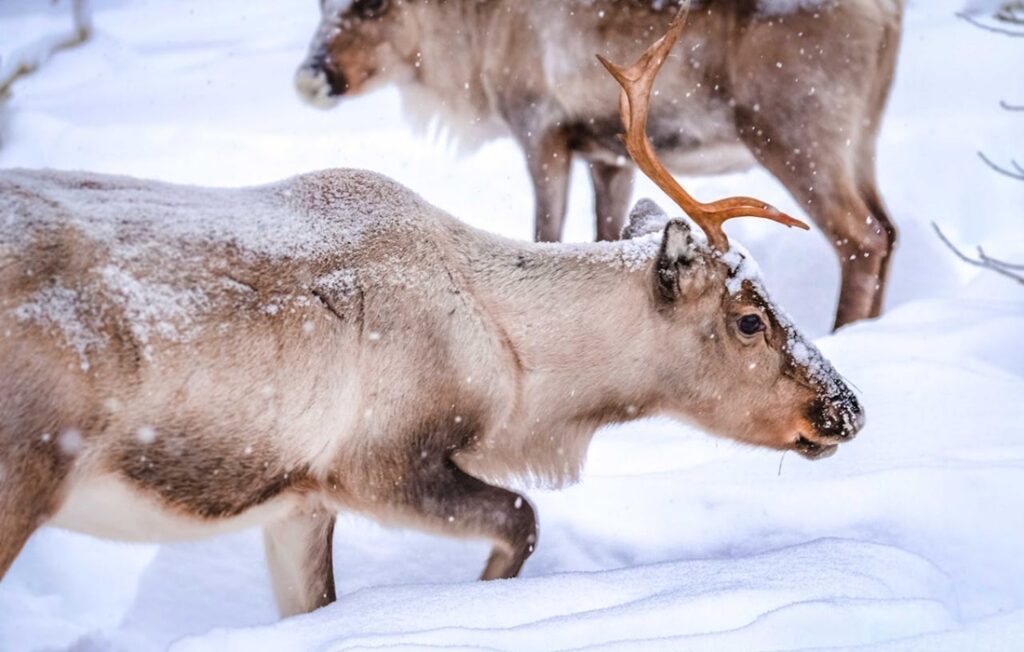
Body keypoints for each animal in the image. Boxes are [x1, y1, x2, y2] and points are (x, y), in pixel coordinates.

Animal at [296, 0, 904, 330]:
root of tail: (889, 14)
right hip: (862, 137)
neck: (475, 39)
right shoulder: (609, 154)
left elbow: (546, 232)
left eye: (374, 4)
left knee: (862, 236)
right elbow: (607, 234)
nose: (309, 78)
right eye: (321, 5)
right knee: (889, 229)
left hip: (796, 133)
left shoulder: (541, 130)